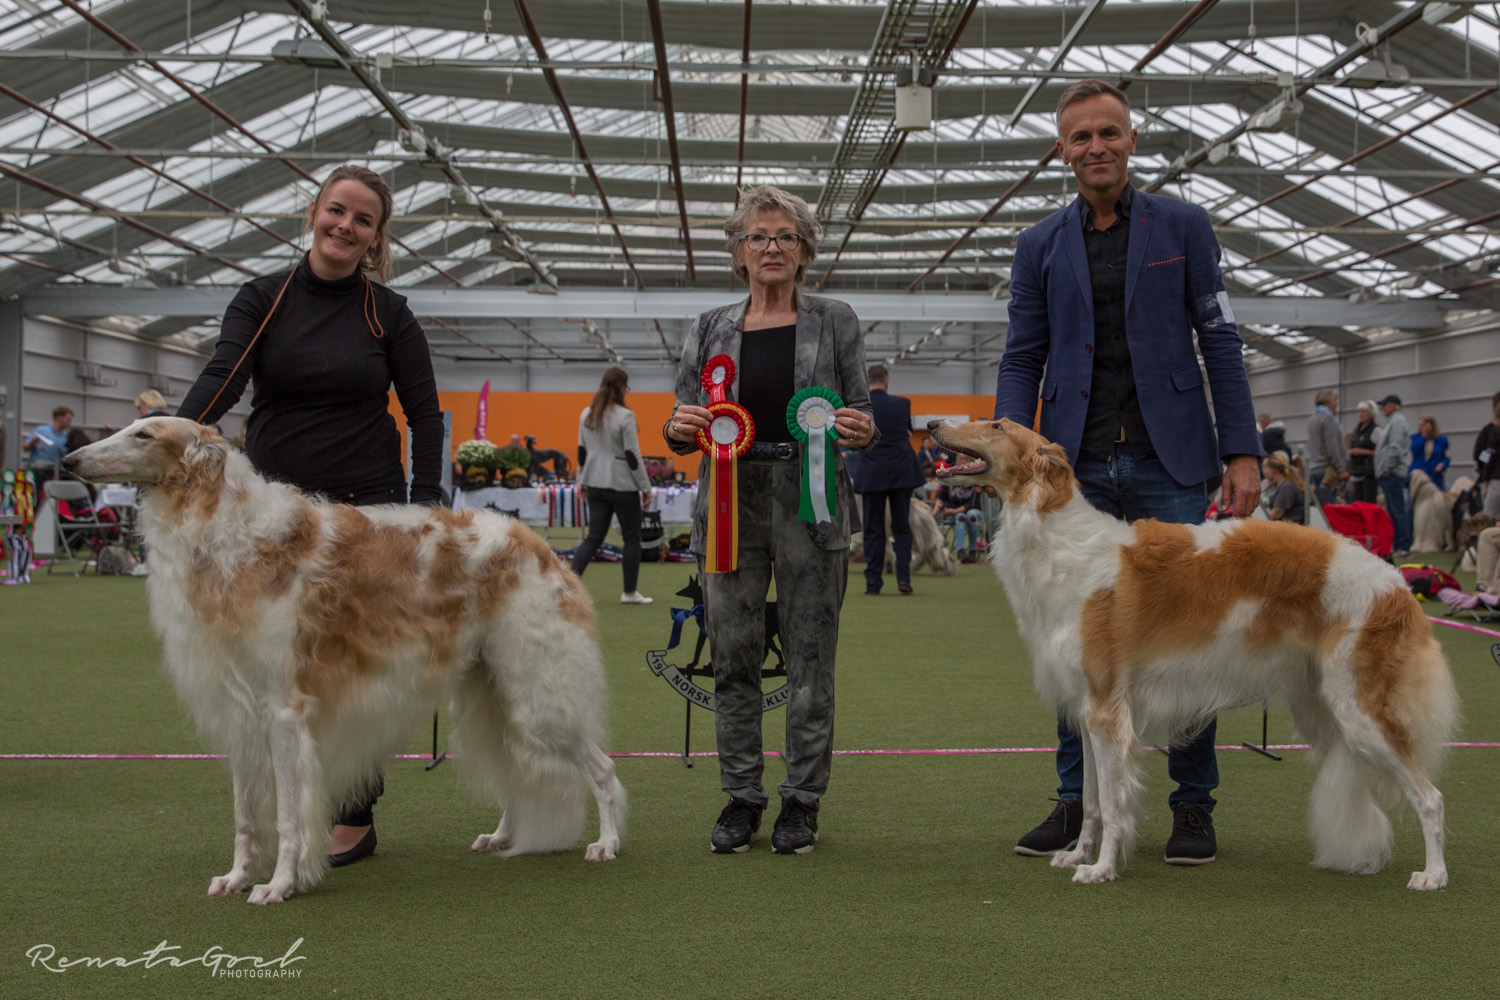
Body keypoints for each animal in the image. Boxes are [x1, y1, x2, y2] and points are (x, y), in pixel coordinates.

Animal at [63, 419, 627, 905]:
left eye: (143, 434)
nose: (69, 460)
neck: (232, 535)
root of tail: (540, 547)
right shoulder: (243, 715)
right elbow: (246, 818)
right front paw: (237, 877)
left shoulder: (284, 713)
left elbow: (288, 817)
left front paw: (279, 884)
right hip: (492, 692)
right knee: (514, 773)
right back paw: (501, 835)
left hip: (537, 695)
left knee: (602, 768)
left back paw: (607, 843)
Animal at [930, 419, 1458, 887]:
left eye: (997, 425)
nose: (933, 424)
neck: (1058, 538)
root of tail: (1398, 585)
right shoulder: (1086, 709)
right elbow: (1094, 803)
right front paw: (1077, 854)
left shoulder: (1107, 711)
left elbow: (1115, 806)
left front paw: (1102, 869)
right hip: (1323, 707)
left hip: (1359, 712)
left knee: (1432, 797)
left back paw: (1434, 874)